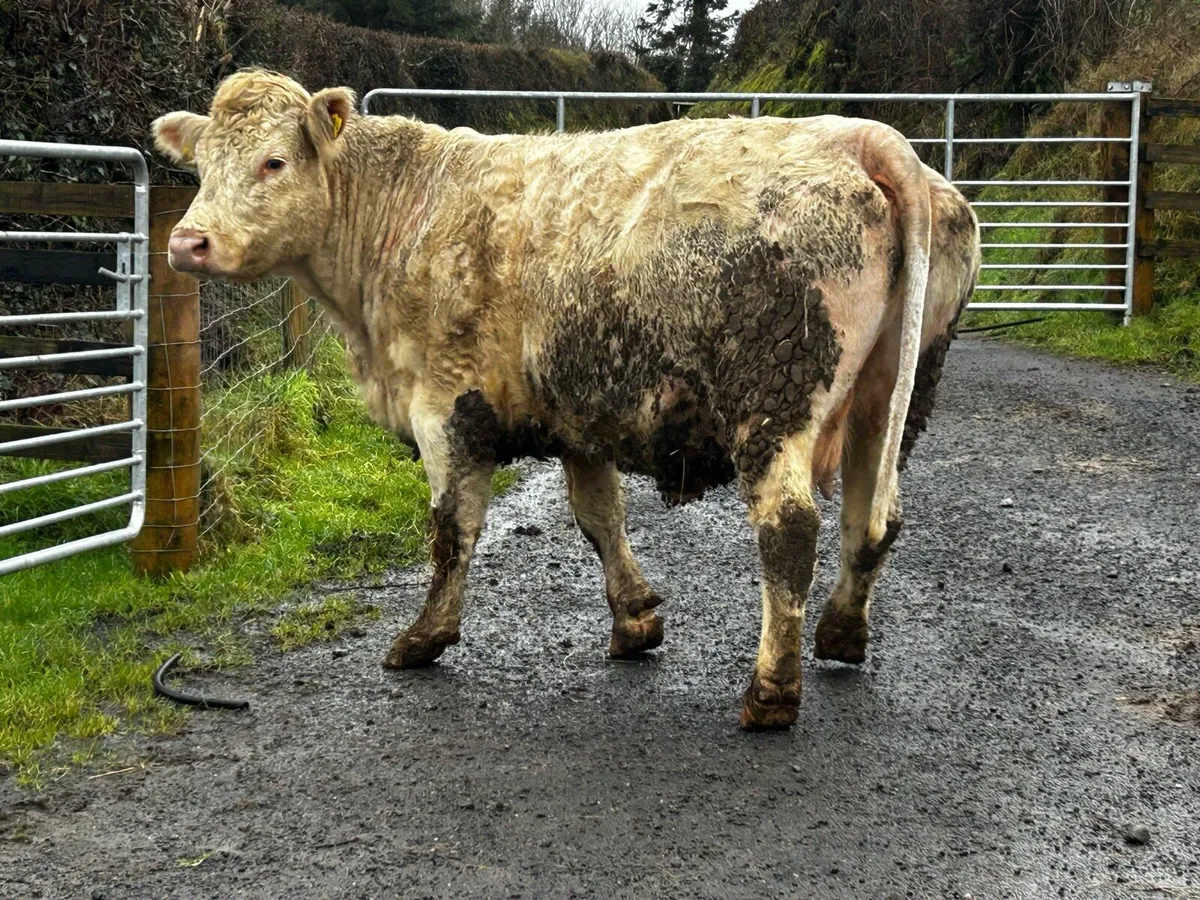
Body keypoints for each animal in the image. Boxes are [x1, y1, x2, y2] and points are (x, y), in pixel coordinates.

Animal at [152, 70, 980, 730]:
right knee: (873, 515)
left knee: (792, 528)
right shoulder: (580, 416)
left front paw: (425, 636)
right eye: (202, 166)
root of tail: (860, 135)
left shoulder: (447, 407)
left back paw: (771, 691)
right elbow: (598, 517)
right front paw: (636, 619)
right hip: (892, 394)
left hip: (773, 398)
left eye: (273, 161)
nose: (188, 242)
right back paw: (841, 633)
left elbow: (452, 530)